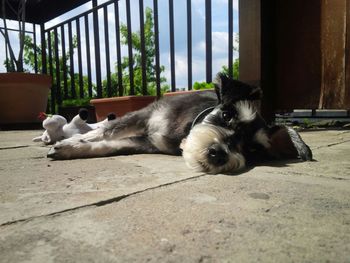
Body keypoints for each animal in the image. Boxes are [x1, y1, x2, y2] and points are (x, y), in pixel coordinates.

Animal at [46, 73, 312, 174]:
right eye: (227, 115)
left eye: (253, 148)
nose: (218, 154)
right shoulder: (145, 116)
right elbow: (108, 132)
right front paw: (74, 141)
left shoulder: (144, 143)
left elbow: (109, 145)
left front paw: (70, 148)